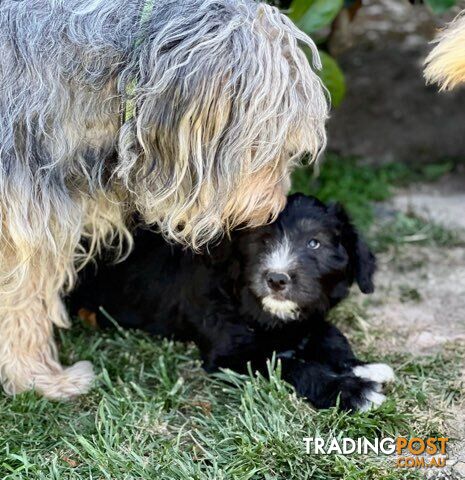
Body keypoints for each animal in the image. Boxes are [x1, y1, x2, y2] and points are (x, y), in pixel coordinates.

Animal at [70, 193, 394, 410]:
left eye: (314, 243)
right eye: (262, 241)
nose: (277, 279)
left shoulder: (307, 316)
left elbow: (330, 334)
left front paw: (361, 366)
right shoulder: (231, 354)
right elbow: (290, 365)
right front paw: (350, 391)